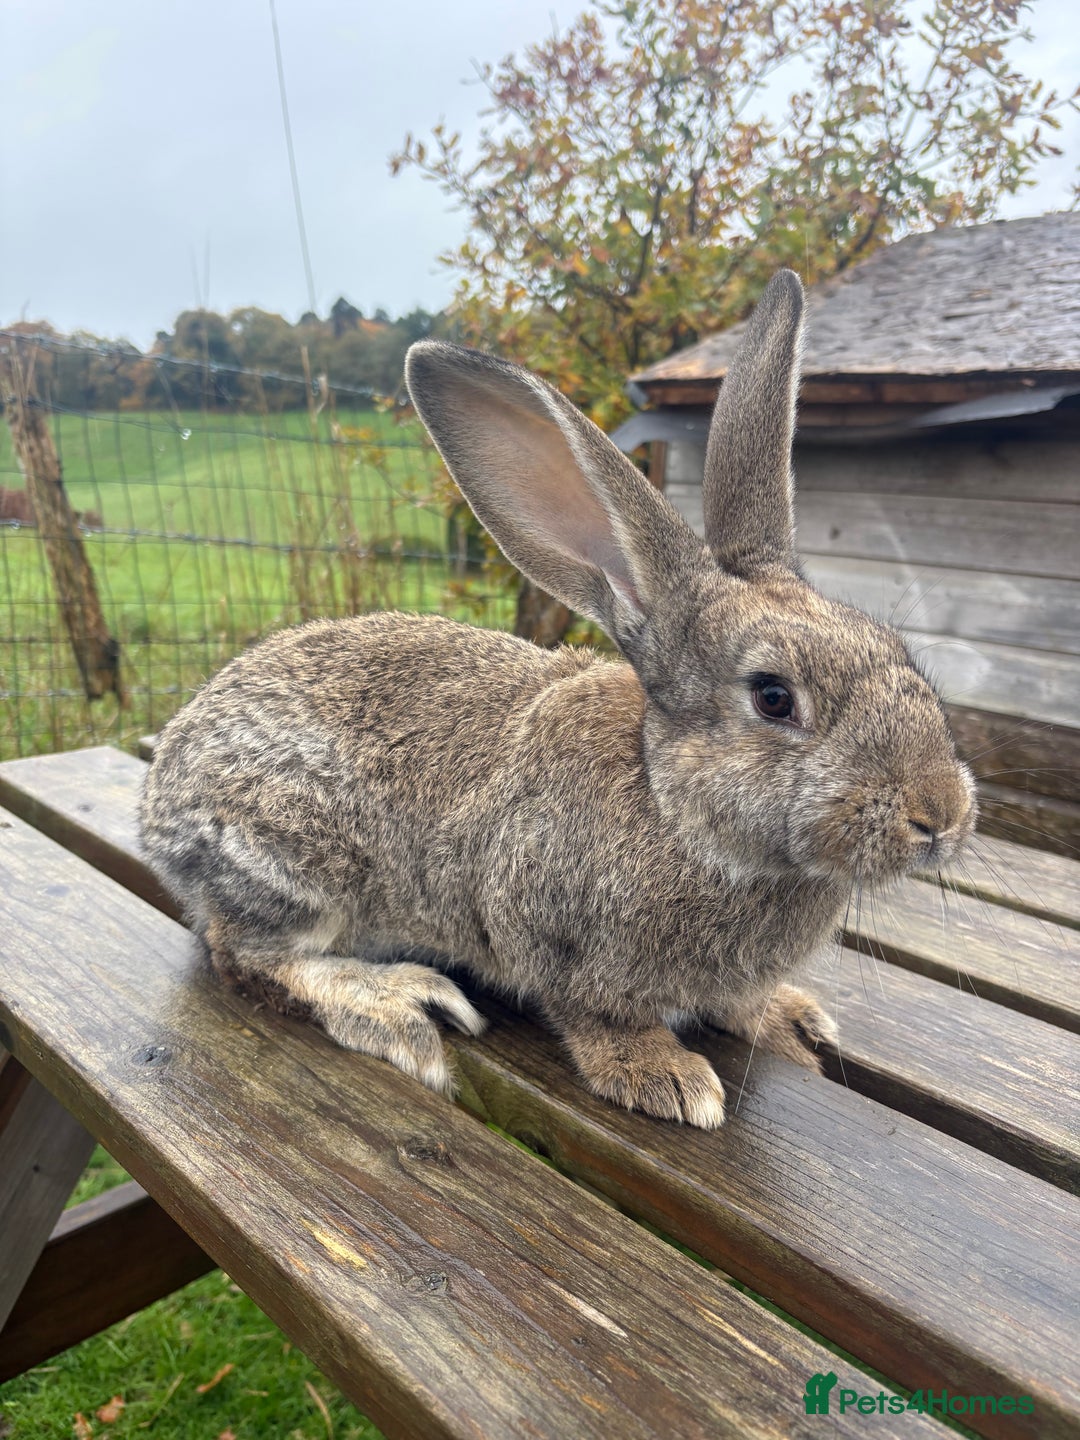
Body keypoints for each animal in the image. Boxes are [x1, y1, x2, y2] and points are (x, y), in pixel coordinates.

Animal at [140, 270, 976, 1129]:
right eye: (774, 698)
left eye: (897, 654)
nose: (941, 815)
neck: (672, 804)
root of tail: (160, 798)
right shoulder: (545, 929)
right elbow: (593, 1015)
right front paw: (664, 1077)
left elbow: (739, 1003)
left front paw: (787, 1021)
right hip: (295, 863)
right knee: (245, 954)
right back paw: (397, 1005)